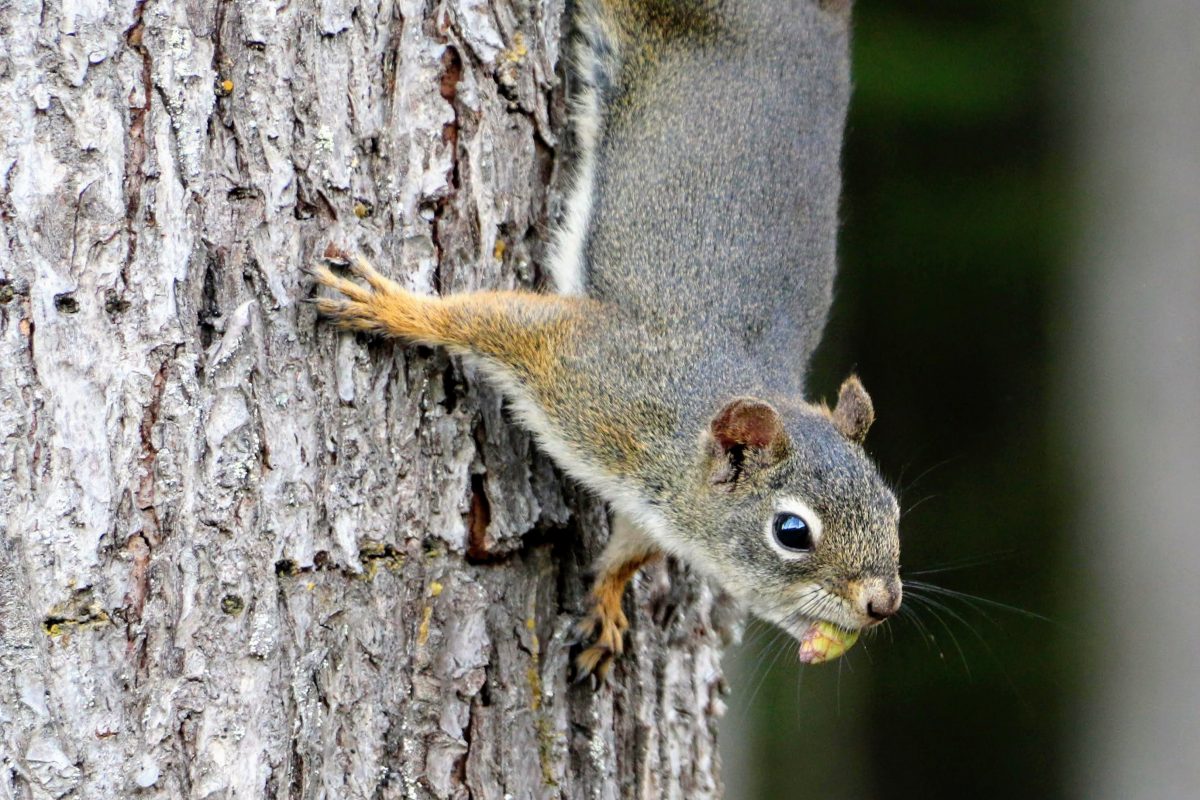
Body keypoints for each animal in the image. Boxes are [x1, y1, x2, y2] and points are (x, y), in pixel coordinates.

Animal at [307, 0, 902, 681]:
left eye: (893, 508)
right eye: (792, 532)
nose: (883, 603)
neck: (678, 436)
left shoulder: (653, 510)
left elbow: (630, 553)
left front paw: (610, 601)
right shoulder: (587, 370)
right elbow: (487, 318)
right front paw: (395, 308)